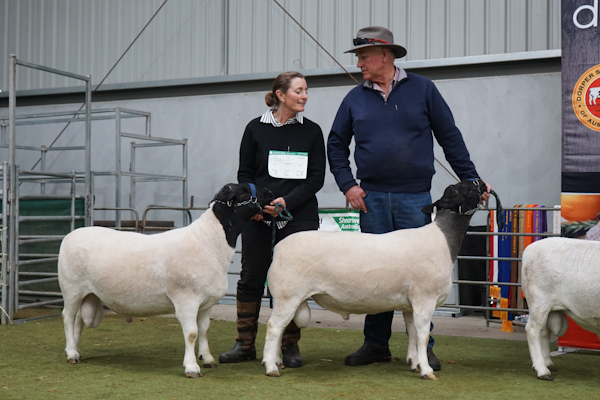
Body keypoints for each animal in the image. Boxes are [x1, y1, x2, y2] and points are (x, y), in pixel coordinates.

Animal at [58, 183, 274, 378]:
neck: (208, 242)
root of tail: (71, 234)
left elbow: (204, 330)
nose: (270, 192)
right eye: (244, 191)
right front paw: (191, 367)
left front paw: (207, 359)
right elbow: (192, 333)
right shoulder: (186, 299)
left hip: (88, 293)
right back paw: (71, 353)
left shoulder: (206, 303)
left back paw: (75, 350)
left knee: (78, 321)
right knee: (68, 317)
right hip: (71, 288)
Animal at [262, 179, 488, 380]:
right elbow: (423, 336)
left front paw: (414, 364)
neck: (442, 239)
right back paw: (271, 367)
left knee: (280, 328)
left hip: (288, 297)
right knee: (274, 327)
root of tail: (278, 248)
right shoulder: (425, 299)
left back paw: (277, 361)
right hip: (288, 295)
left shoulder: (410, 304)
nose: (481, 182)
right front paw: (426, 371)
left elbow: (413, 333)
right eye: (466, 189)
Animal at [522, 237, 600, 381]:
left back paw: (548, 363)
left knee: (544, 332)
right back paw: (542, 370)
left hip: (549, 309)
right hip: (538, 303)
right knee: (533, 330)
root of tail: (529, 248)